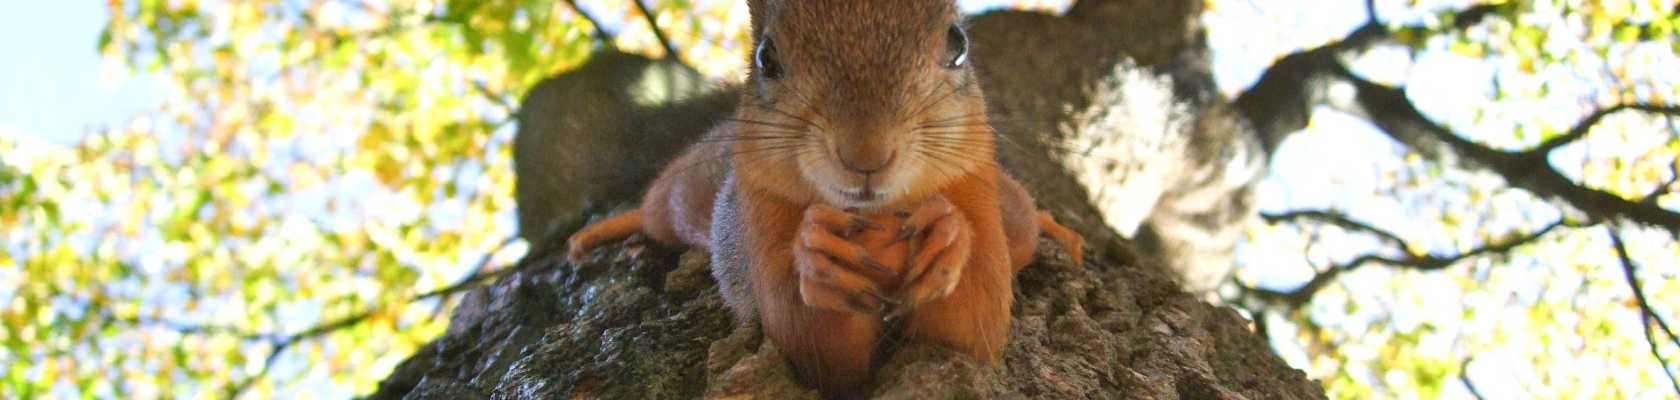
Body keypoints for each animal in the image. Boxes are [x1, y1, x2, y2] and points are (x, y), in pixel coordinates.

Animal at [564, 0, 1081, 394]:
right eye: (766, 58)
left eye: (958, 45)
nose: (865, 154)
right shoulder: (759, 211)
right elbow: (815, 348)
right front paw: (817, 253)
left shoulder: (976, 186)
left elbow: (974, 325)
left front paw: (949, 234)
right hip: (680, 195)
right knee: (655, 211)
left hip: (1010, 208)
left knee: (1025, 219)